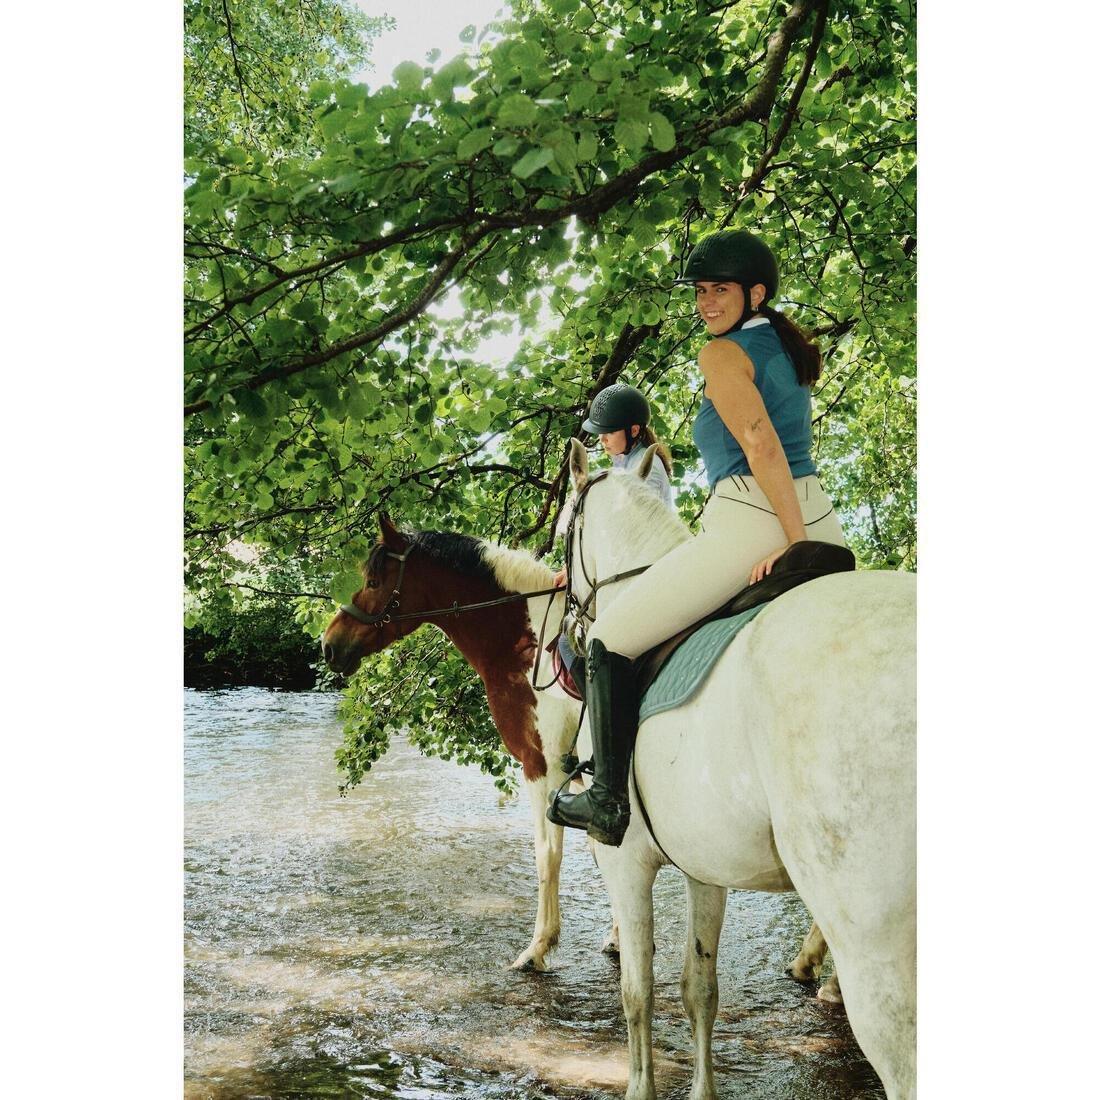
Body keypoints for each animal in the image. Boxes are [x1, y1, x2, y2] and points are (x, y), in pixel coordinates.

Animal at [561, 440, 915, 1100]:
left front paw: (640, 1087)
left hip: (877, 947)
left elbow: (636, 993)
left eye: (564, 528)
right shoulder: (707, 867)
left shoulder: (625, 862)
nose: (565, 642)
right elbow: (699, 990)